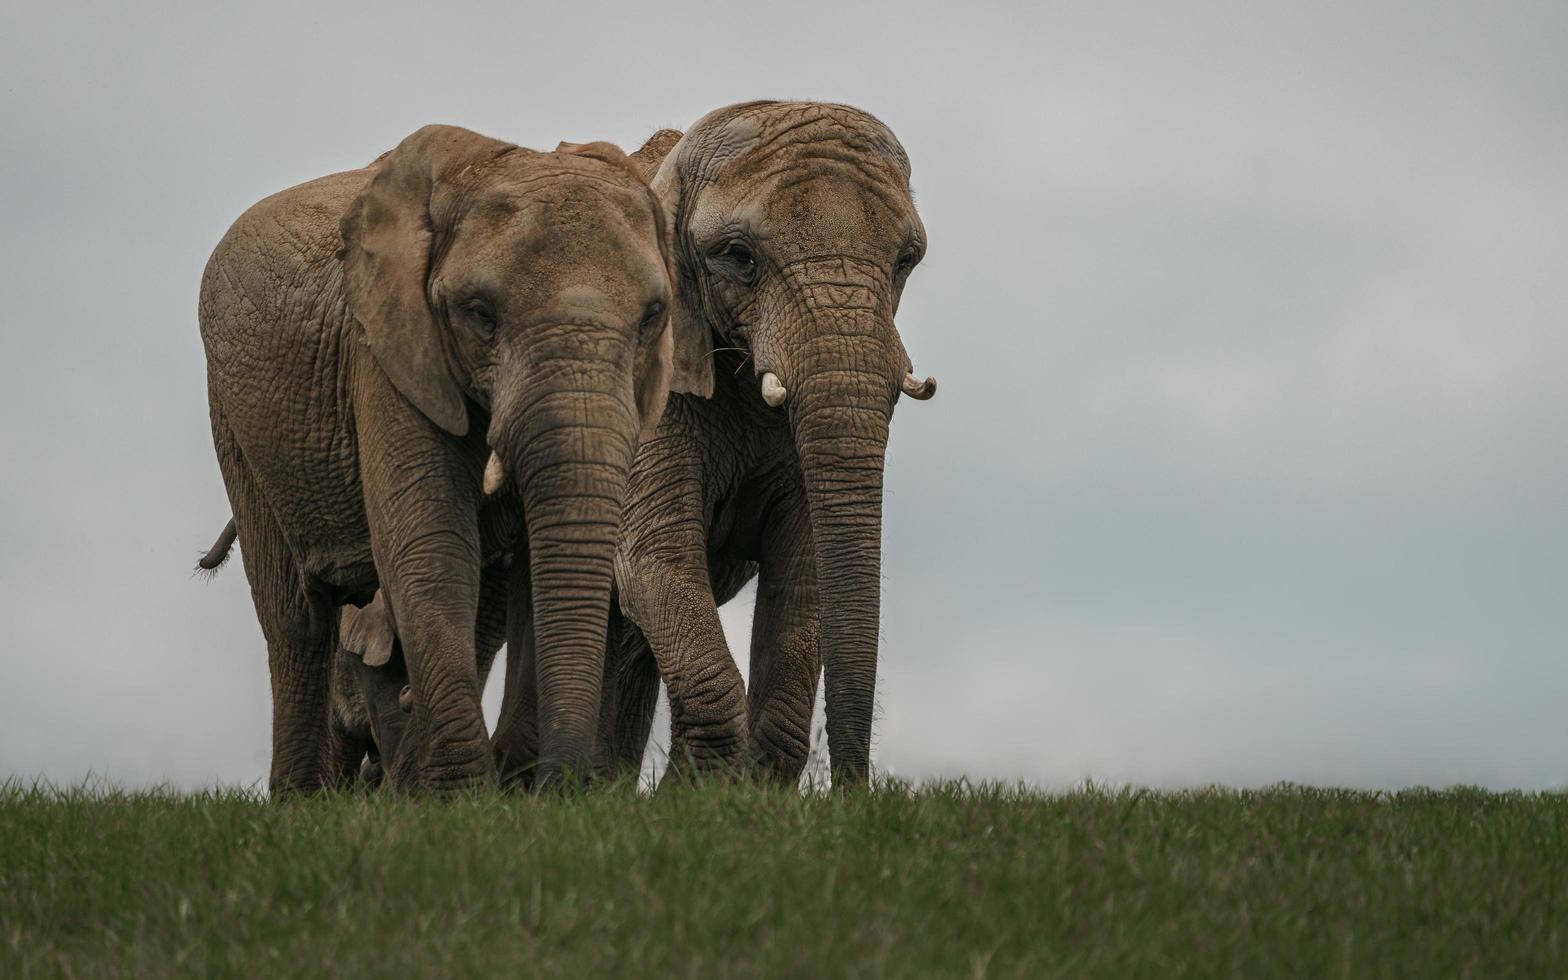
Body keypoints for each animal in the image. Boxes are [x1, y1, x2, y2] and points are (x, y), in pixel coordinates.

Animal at [197, 122, 705, 796]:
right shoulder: (385, 351)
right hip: (236, 423)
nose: (564, 788)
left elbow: (534, 567)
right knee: (294, 620)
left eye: (653, 316)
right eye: (478, 313)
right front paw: (464, 797)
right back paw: (301, 800)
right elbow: (430, 541)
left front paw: (503, 790)